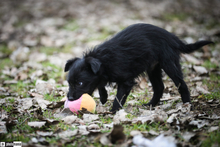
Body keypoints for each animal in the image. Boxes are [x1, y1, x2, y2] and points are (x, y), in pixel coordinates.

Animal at [64, 23, 212, 112]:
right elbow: (100, 84)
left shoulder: (126, 81)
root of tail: (173, 38)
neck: (103, 60)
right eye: (69, 83)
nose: (70, 98)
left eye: (80, 83)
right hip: (153, 68)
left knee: (182, 84)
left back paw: (187, 105)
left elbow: (119, 97)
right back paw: (151, 104)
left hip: (169, 63)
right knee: (159, 87)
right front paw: (104, 97)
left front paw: (113, 111)